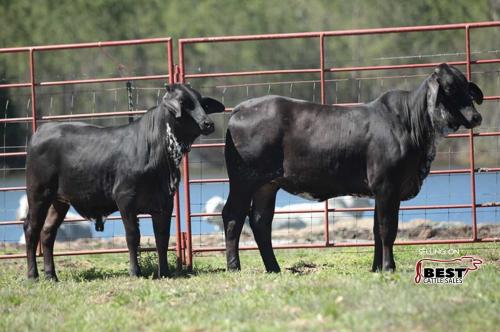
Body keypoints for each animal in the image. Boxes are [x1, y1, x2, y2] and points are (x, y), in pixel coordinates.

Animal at [24, 83, 225, 280]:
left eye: (202, 103)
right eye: (184, 103)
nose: (208, 123)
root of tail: (41, 131)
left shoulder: (165, 202)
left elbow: (162, 237)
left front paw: (165, 272)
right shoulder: (125, 200)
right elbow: (133, 236)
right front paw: (135, 271)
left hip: (58, 201)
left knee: (47, 232)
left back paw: (51, 275)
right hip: (38, 194)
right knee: (31, 229)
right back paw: (33, 275)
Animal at [221, 64, 482, 272]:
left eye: (466, 87)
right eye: (450, 89)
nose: (476, 117)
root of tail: (241, 108)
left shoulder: (382, 190)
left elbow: (376, 230)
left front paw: (377, 268)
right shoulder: (387, 186)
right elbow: (388, 229)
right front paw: (389, 267)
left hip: (267, 184)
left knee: (260, 221)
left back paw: (273, 268)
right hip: (244, 180)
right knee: (233, 215)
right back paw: (234, 267)